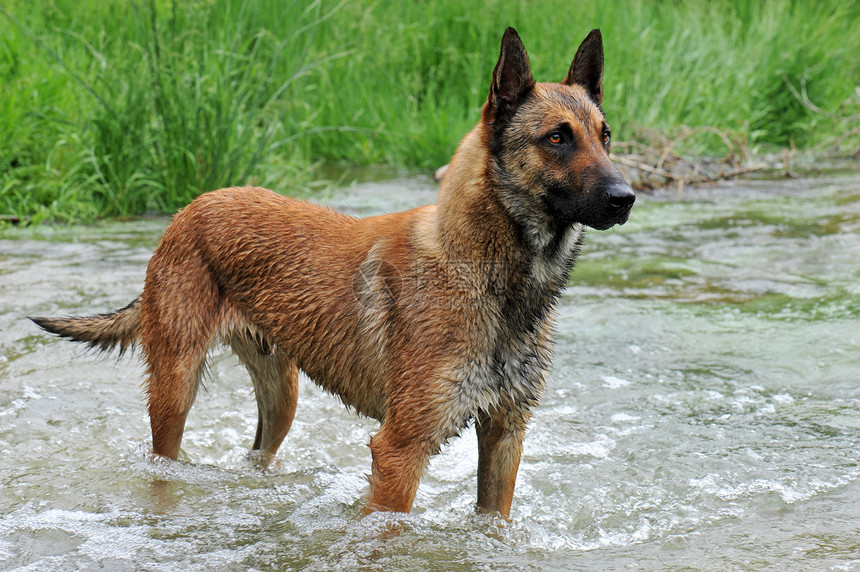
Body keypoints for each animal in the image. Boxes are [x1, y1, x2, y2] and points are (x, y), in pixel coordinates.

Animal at [31, 26, 632, 520]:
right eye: (556, 137)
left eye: (604, 137)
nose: (625, 198)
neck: (488, 273)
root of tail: (191, 207)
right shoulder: (399, 452)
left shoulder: (504, 438)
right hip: (175, 392)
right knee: (165, 460)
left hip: (281, 399)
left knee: (259, 454)